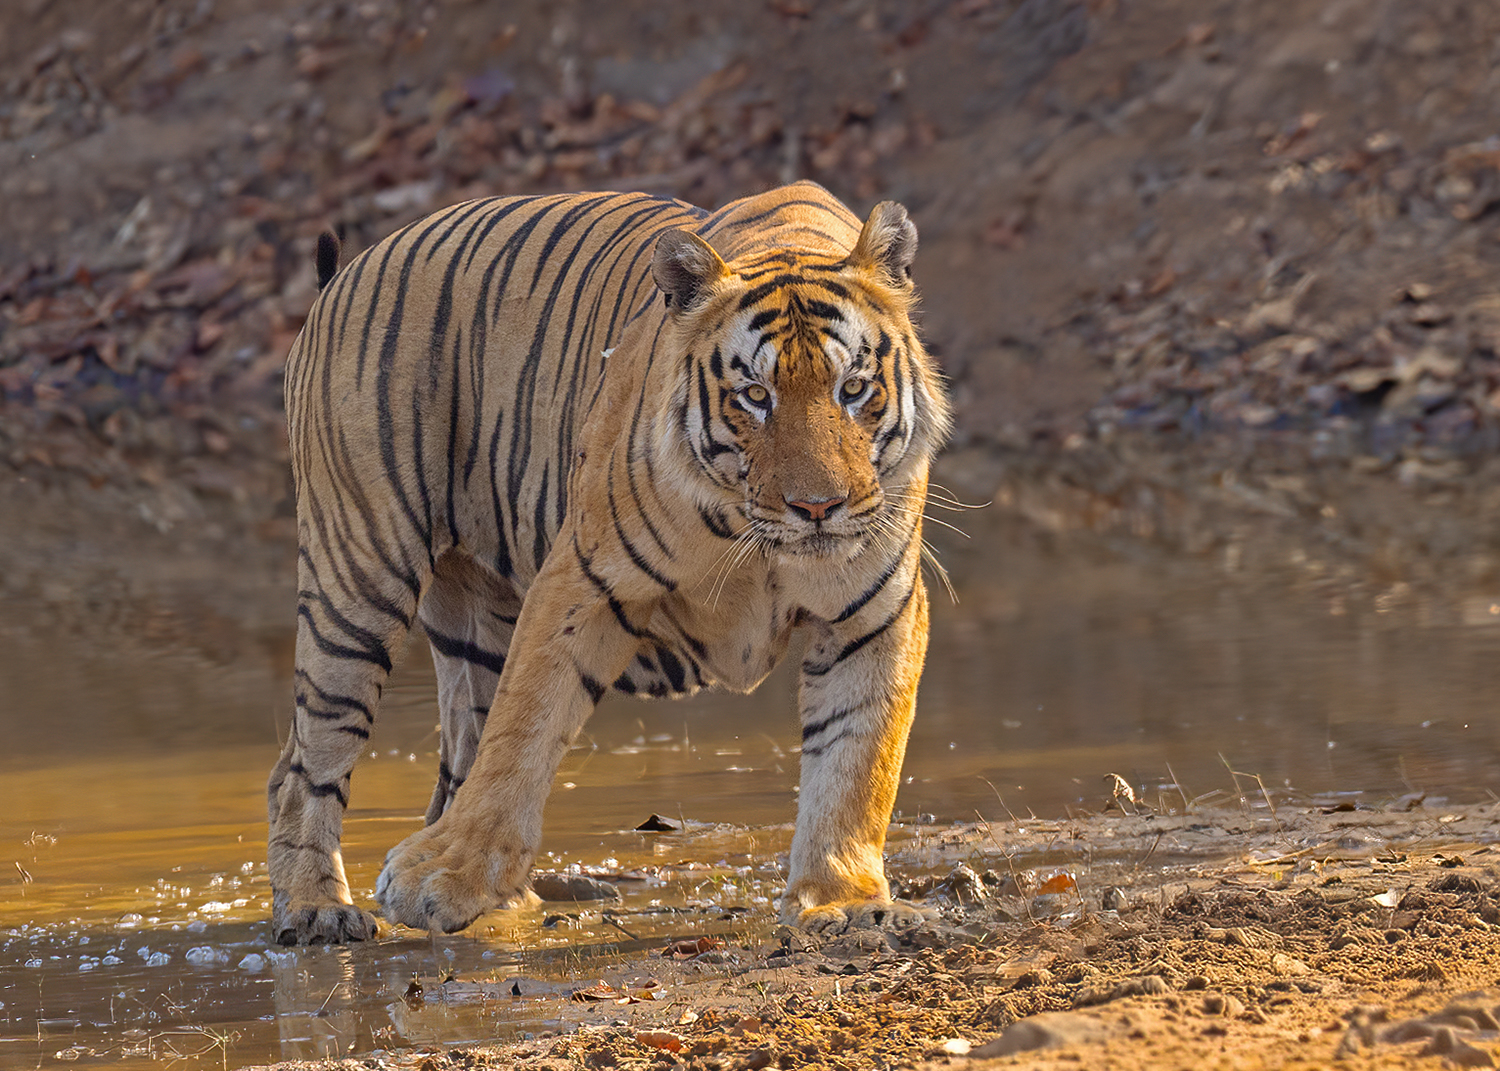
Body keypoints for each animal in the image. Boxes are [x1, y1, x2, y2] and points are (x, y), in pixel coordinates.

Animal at [268, 179, 953, 945]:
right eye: (755, 396)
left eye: (854, 388)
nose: (818, 507)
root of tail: (346, 274)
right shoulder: (585, 580)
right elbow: (525, 729)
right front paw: (441, 876)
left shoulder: (876, 612)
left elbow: (858, 757)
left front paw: (841, 898)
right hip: (358, 575)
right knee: (304, 764)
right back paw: (317, 908)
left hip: (477, 623)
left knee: (457, 756)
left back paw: (502, 900)